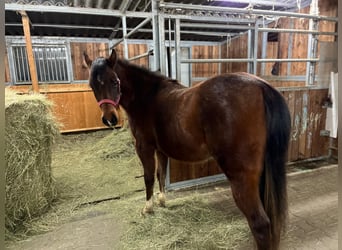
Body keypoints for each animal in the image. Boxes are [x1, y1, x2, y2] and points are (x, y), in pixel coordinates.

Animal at [84, 49, 290, 250]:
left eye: (114, 81)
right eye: (92, 85)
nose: (109, 119)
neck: (148, 97)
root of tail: (260, 86)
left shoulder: (144, 147)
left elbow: (149, 177)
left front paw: (148, 208)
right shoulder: (161, 150)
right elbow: (160, 174)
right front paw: (162, 201)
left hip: (241, 177)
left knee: (260, 224)